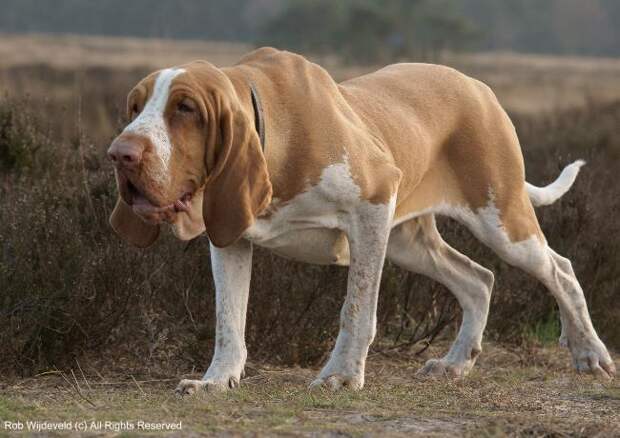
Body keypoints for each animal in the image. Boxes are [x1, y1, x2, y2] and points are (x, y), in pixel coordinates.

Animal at [108, 48, 616, 394]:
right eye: (133, 107)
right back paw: (454, 363)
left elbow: (356, 309)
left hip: (501, 220)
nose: (120, 154)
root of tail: (478, 86)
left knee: (560, 270)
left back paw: (590, 353)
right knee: (479, 279)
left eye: (185, 108)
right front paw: (217, 380)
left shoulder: (371, 208)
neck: (276, 137)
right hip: (410, 243)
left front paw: (341, 376)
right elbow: (229, 317)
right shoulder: (230, 237)